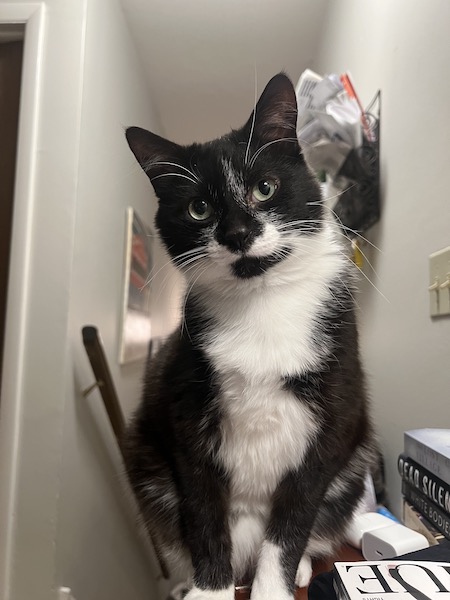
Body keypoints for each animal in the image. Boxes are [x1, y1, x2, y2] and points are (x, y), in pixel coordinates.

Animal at [122, 75, 376, 600]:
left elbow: (294, 519)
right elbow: (203, 513)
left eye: (265, 188)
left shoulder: (334, 419)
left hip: (355, 465)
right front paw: (210, 590)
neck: (261, 301)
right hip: (147, 466)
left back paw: (302, 568)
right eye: (198, 208)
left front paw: (274, 586)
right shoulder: (186, 414)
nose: (238, 233)